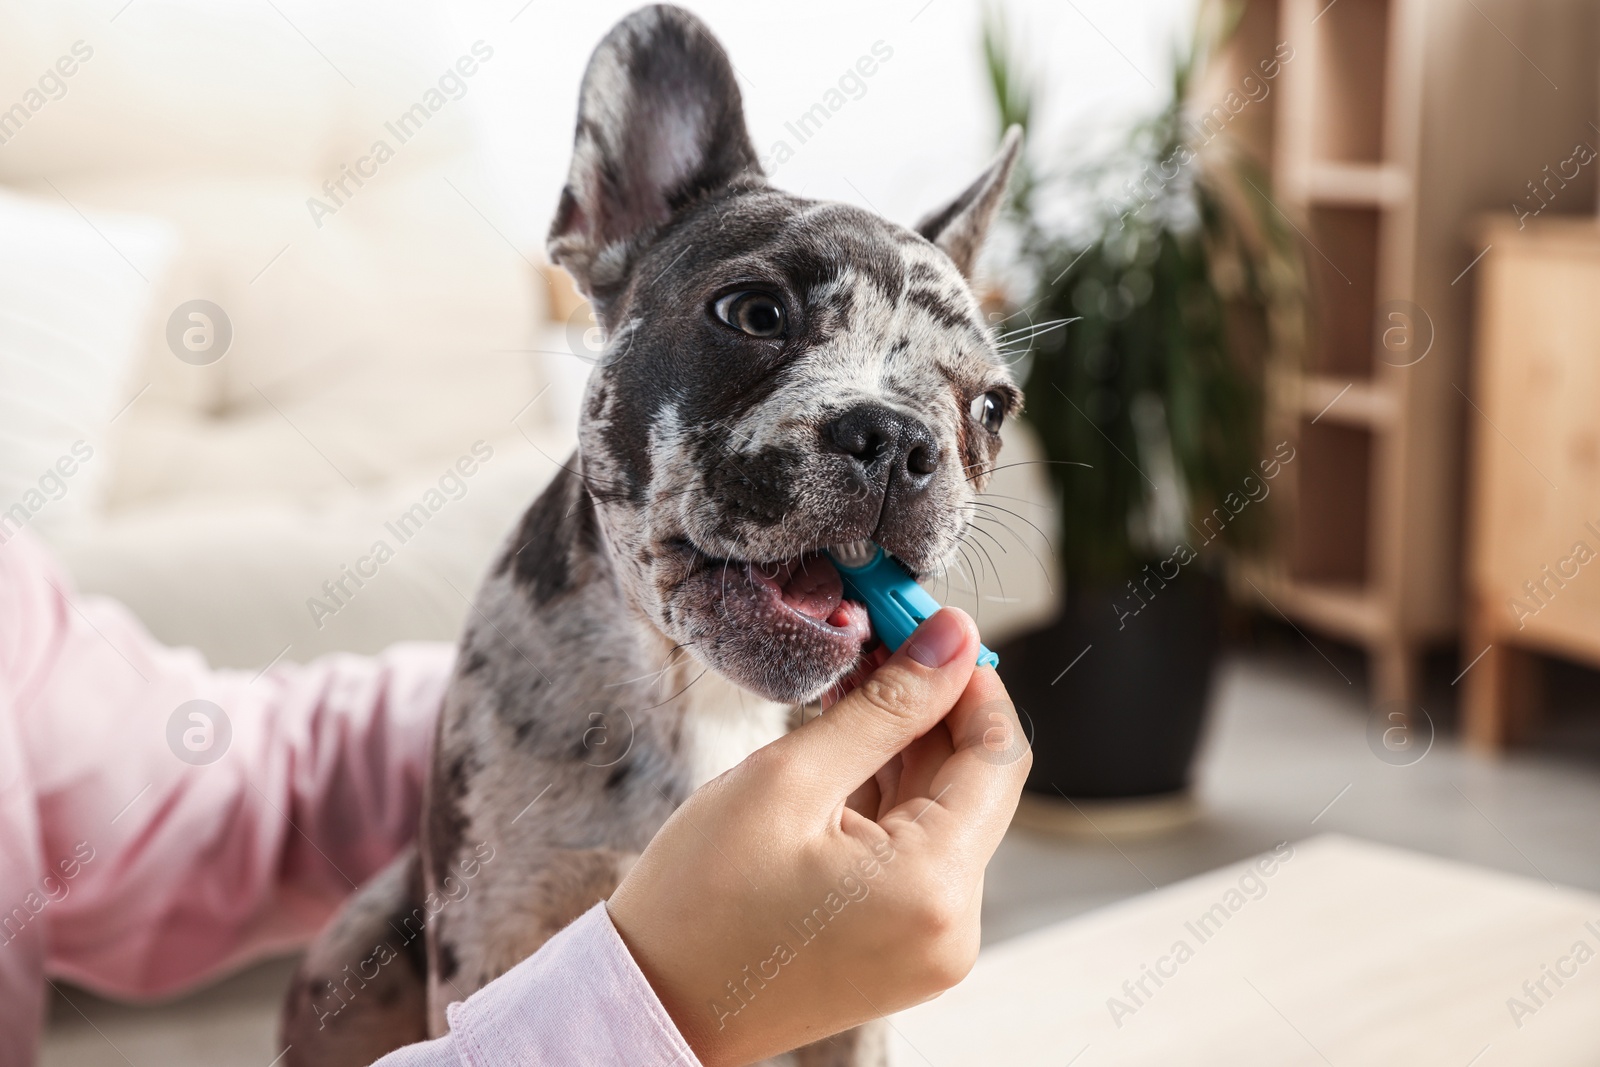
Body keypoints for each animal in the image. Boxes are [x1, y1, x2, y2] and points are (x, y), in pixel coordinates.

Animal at [280, 4, 1017, 1062]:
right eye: (754, 312)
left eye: (993, 407)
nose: (897, 438)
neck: (699, 692)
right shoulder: (491, 930)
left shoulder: (853, 1028)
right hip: (356, 945)